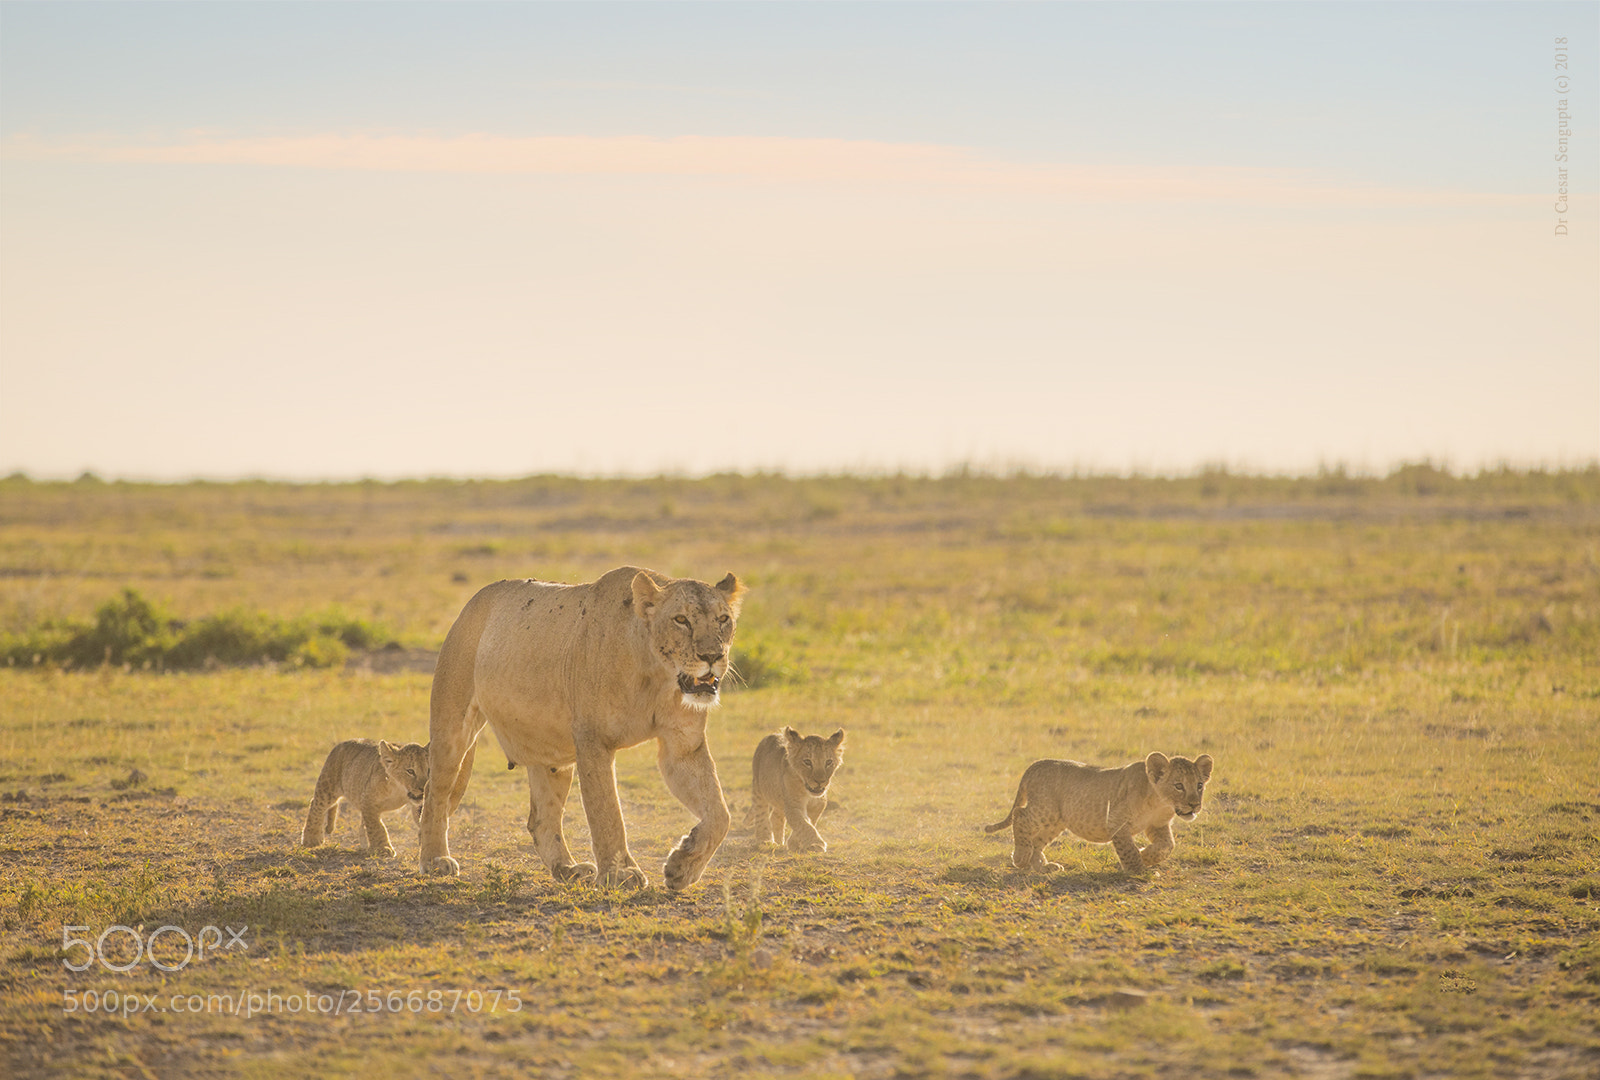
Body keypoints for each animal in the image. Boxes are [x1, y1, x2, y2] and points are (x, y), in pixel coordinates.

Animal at [301, 739, 430, 857]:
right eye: (410, 771)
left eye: (429, 771)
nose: (423, 789)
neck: (399, 790)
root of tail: (342, 743)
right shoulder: (368, 800)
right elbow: (376, 826)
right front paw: (383, 848)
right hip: (328, 785)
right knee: (316, 804)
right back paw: (311, 839)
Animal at [420, 567, 745, 890]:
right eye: (681, 620)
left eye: (723, 619)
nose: (712, 656)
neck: (656, 675)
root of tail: (474, 601)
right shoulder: (593, 740)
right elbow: (607, 812)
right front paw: (621, 874)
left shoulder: (683, 745)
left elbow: (720, 814)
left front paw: (683, 866)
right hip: (452, 726)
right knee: (434, 795)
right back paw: (435, 860)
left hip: (551, 751)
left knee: (541, 819)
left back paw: (568, 869)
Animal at [984, 752, 1213, 873]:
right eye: (1179, 786)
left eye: (1199, 785)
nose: (1194, 805)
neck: (1160, 802)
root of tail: (1037, 763)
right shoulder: (1116, 820)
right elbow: (1128, 849)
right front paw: (1138, 870)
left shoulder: (1157, 825)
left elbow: (1168, 845)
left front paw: (1146, 856)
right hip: (1045, 809)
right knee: (1020, 815)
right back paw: (1021, 857)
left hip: (1056, 820)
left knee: (1038, 839)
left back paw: (1042, 866)